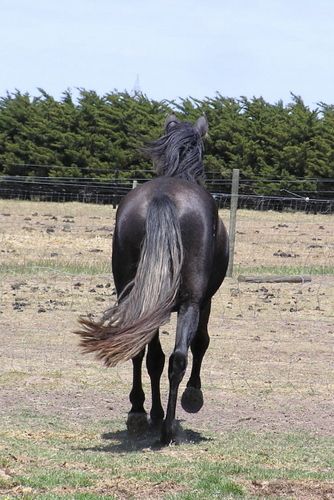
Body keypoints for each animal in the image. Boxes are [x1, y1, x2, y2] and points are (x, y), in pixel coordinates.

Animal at [77, 114, 230, 446]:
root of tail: (163, 196)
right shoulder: (206, 300)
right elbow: (200, 343)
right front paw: (192, 398)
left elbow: (153, 359)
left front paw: (152, 412)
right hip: (191, 302)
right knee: (179, 357)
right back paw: (167, 428)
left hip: (135, 295)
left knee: (142, 351)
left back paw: (139, 415)